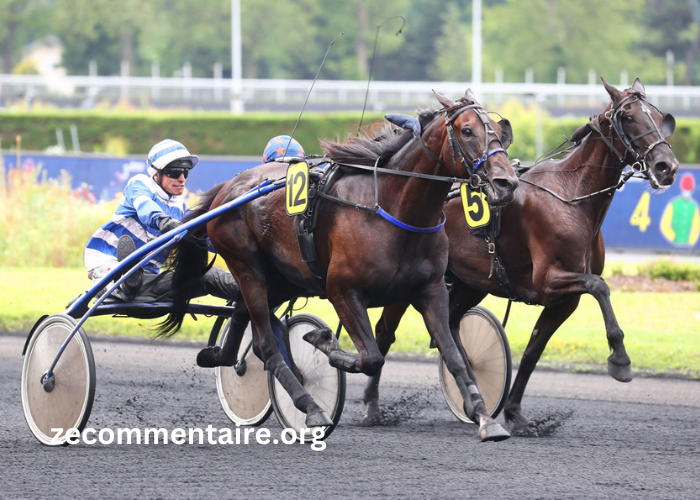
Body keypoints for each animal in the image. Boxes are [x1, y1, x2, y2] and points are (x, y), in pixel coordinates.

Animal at [159, 90, 520, 442]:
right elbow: (371, 357)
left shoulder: (430, 290)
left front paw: (485, 417)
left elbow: (454, 356)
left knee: (242, 313)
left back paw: (219, 357)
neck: (394, 208)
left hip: (284, 277)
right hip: (246, 265)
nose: (507, 182)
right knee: (265, 344)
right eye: (467, 130)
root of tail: (228, 188)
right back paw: (311, 407)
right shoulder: (342, 289)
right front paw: (323, 342)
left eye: (499, 131)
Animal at [374, 76, 680, 436]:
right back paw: (373, 407)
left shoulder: (563, 300)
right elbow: (599, 286)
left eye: (659, 117)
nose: (667, 166)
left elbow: (534, 351)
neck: (571, 196)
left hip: (470, 283)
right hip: (410, 281)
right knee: (386, 330)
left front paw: (515, 413)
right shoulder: (548, 280)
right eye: (629, 117)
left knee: (449, 322)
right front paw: (620, 360)